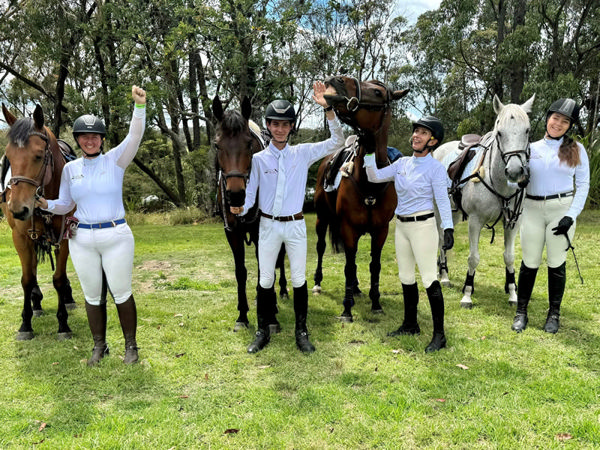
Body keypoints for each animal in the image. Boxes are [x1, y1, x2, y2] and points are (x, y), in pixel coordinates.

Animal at [1, 103, 77, 340]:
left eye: (38, 155)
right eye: (9, 156)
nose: (18, 209)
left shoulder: (65, 236)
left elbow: (59, 278)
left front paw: (63, 324)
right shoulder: (21, 237)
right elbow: (27, 279)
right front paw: (25, 324)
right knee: (32, 269)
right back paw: (36, 303)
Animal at [212, 96, 288, 332]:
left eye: (248, 144)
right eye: (217, 145)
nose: (236, 195)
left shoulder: (260, 232)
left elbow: (267, 268)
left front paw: (270, 315)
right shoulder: (232, 232)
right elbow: (241, 272)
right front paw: (243, 315)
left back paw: (281, 292)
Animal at [314, 78, 408, 324]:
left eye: (376, 92)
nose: (337, 79)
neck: (369, 184)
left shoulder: (380, 231)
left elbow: (374, 266)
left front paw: (375, 303)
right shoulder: (348, 228)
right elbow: (348, 266)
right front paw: (346, 309)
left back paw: (355, 288)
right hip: (321, 219)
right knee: (321, 247)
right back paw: (318, 283)